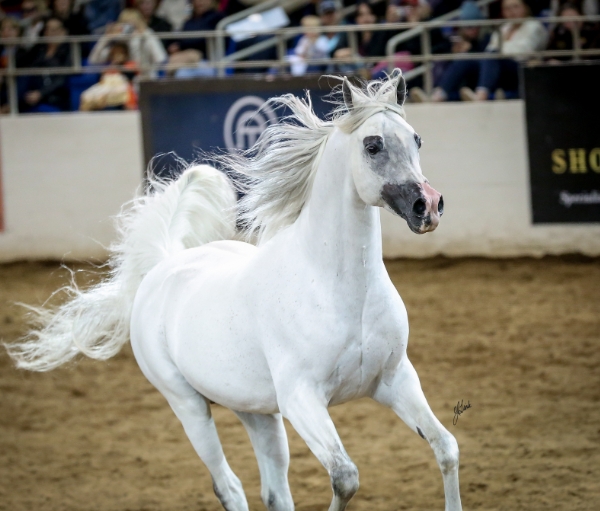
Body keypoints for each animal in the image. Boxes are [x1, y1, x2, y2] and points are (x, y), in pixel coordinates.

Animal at [7, 72, 460, 511]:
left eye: (416, 139)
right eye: (372, 144)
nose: (428, 206)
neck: (338, 289)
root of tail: (164, 266)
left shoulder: (395, 379)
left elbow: (446, 448)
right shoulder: (302, 399)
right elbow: (345, 477)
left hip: (256, 411)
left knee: (274, 492)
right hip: (188, 406)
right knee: (229, 487)